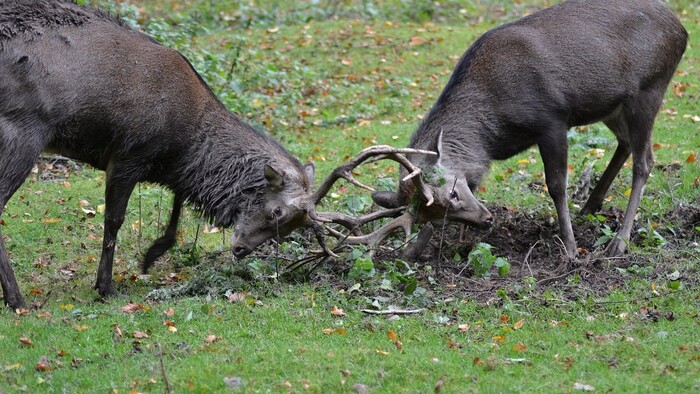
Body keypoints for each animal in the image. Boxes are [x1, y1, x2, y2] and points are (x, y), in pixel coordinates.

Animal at [366, 0, 688, 260]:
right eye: (437, 218)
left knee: (644, 161)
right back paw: (591, 205)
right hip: (612, 105)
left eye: (453, 193)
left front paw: (571, 248)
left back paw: (618, 242)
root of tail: (681, 29)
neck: (493, 131)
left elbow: (556, 185)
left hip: (649, 88)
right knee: (625, 142)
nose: (486, 220)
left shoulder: (552, 119)